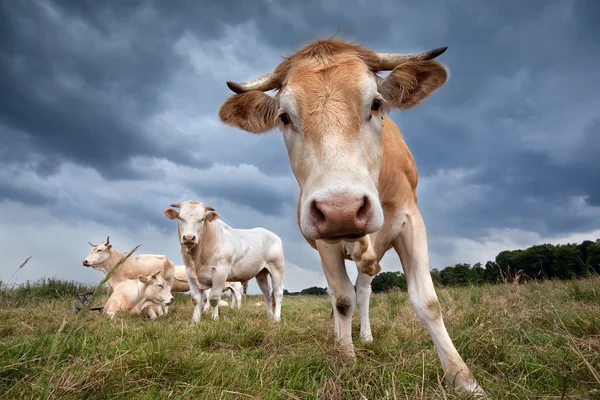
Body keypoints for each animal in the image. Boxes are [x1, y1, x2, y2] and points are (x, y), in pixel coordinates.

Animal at [218, 37, 486, 394]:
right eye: (284, 117)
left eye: (376, 103)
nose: (341, 209)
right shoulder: (325, 240)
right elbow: (343, 299)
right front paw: (346, 360)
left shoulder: (411, 222)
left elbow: (427, 301)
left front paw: (464, 380)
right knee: (339, 294)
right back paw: (339, 336)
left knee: (365, 290)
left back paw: (367, 336)